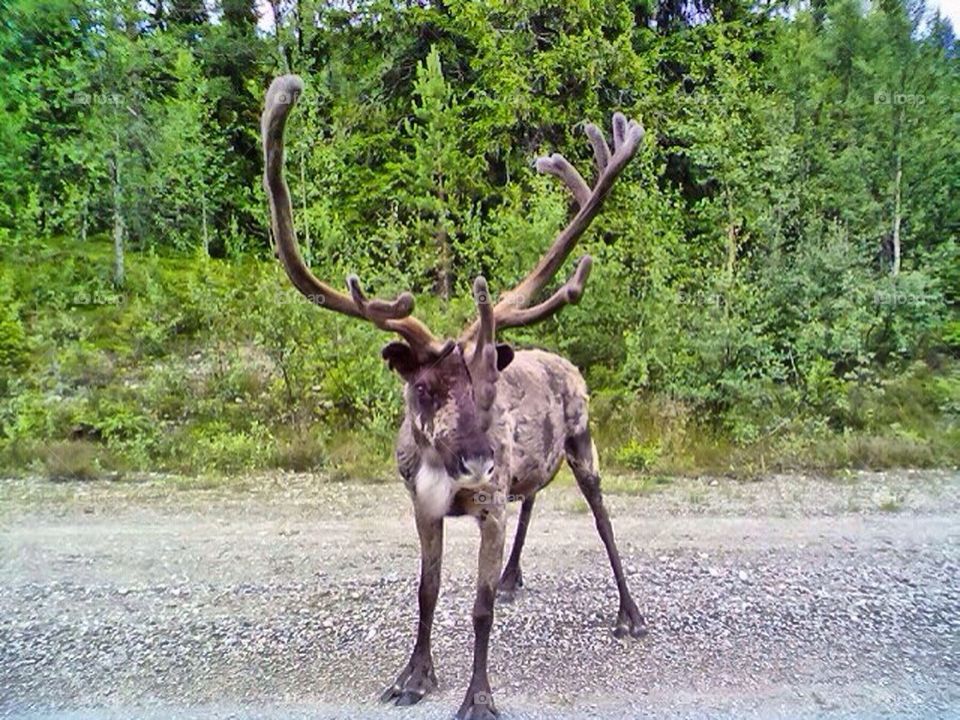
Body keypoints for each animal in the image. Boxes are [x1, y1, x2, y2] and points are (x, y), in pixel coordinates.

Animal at [261, 74, 646, 720]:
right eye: (423, 387)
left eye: (487, 383)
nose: (477, 459)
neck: (440, 469)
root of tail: (566, 361)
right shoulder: (422, 506)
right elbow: (427, 592)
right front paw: (413, 677)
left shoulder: (488, 507)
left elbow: (478, 608)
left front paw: (478, 695)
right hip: (531, 468)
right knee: (532, 497)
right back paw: (517, 575)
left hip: (583, 443)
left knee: (603, 519)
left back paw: (630, 614)